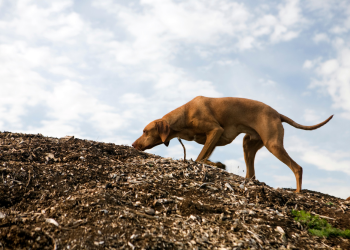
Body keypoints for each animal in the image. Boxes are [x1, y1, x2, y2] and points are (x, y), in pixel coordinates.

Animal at [133, 96, 332, 192]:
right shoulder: (212, 138)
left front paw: (215, 164)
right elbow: (204, 157)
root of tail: (277, 114)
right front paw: (216, 164)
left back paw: (297, 193)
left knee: (297, 168)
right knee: (251, 174)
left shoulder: (215, 130)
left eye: (145, 131)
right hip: (248, 144)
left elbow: (199, 158)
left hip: (273, 144)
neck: (184, 115)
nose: (134, 145)